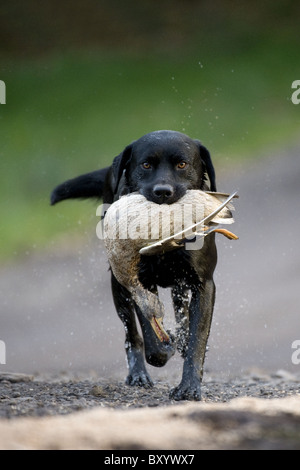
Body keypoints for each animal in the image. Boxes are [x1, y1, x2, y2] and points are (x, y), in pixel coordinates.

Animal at [51, 129, 216, 400]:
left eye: (182, 165)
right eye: (146, 165)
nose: (163, 192)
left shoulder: (203, 284)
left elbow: (197, 340)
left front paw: (189, 387)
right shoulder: (138, 281)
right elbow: (150, 337)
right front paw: (164, 349)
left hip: (179, 285)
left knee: (181, 314)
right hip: (118, 288)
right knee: (132, 335)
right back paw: (139, 373)